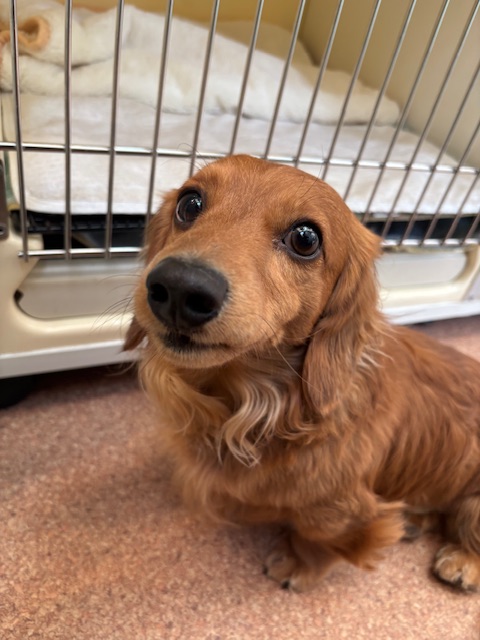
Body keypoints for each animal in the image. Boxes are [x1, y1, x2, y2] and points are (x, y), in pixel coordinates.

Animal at [126, 154, 480, 592]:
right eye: (189, 204)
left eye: (306, 239)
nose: (178, 287)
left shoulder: (338, 509)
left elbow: (320, 536)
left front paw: (297, 564)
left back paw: (463, 560)